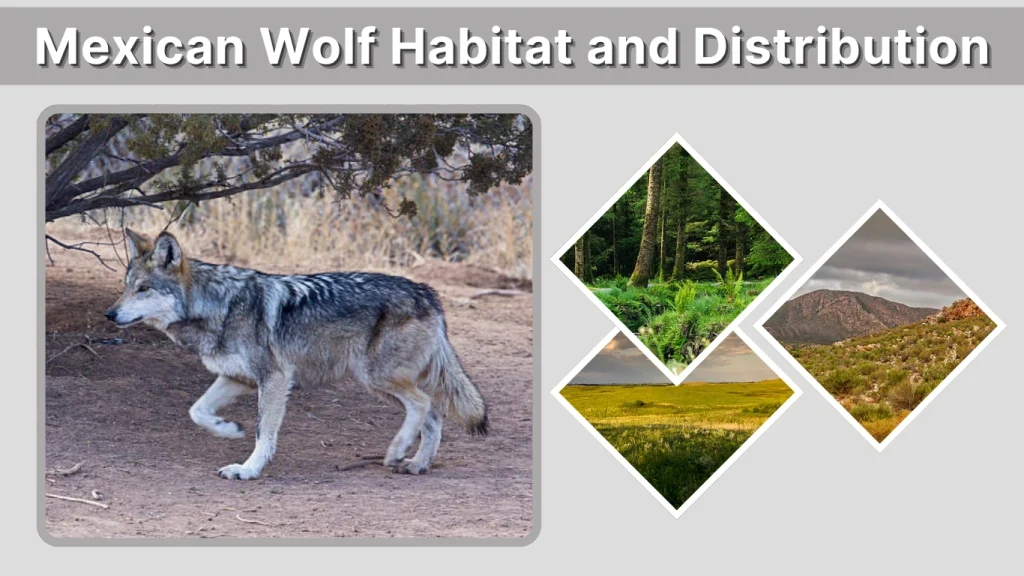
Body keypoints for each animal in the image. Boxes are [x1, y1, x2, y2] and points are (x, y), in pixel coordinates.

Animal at [104, 229, 488, 480]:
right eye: (126, 287)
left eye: (143, 289)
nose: (110, 314)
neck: (219, 305)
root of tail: (428, 293)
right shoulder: (237, 378)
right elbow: (197, 411)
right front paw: (228, 429)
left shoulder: (274, 379)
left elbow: (264, 432)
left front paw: (248, 469)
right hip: (378, 383)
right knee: (433, 414)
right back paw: (417, 464)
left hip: (376, 377)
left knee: (424, 404)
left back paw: (396, 451)